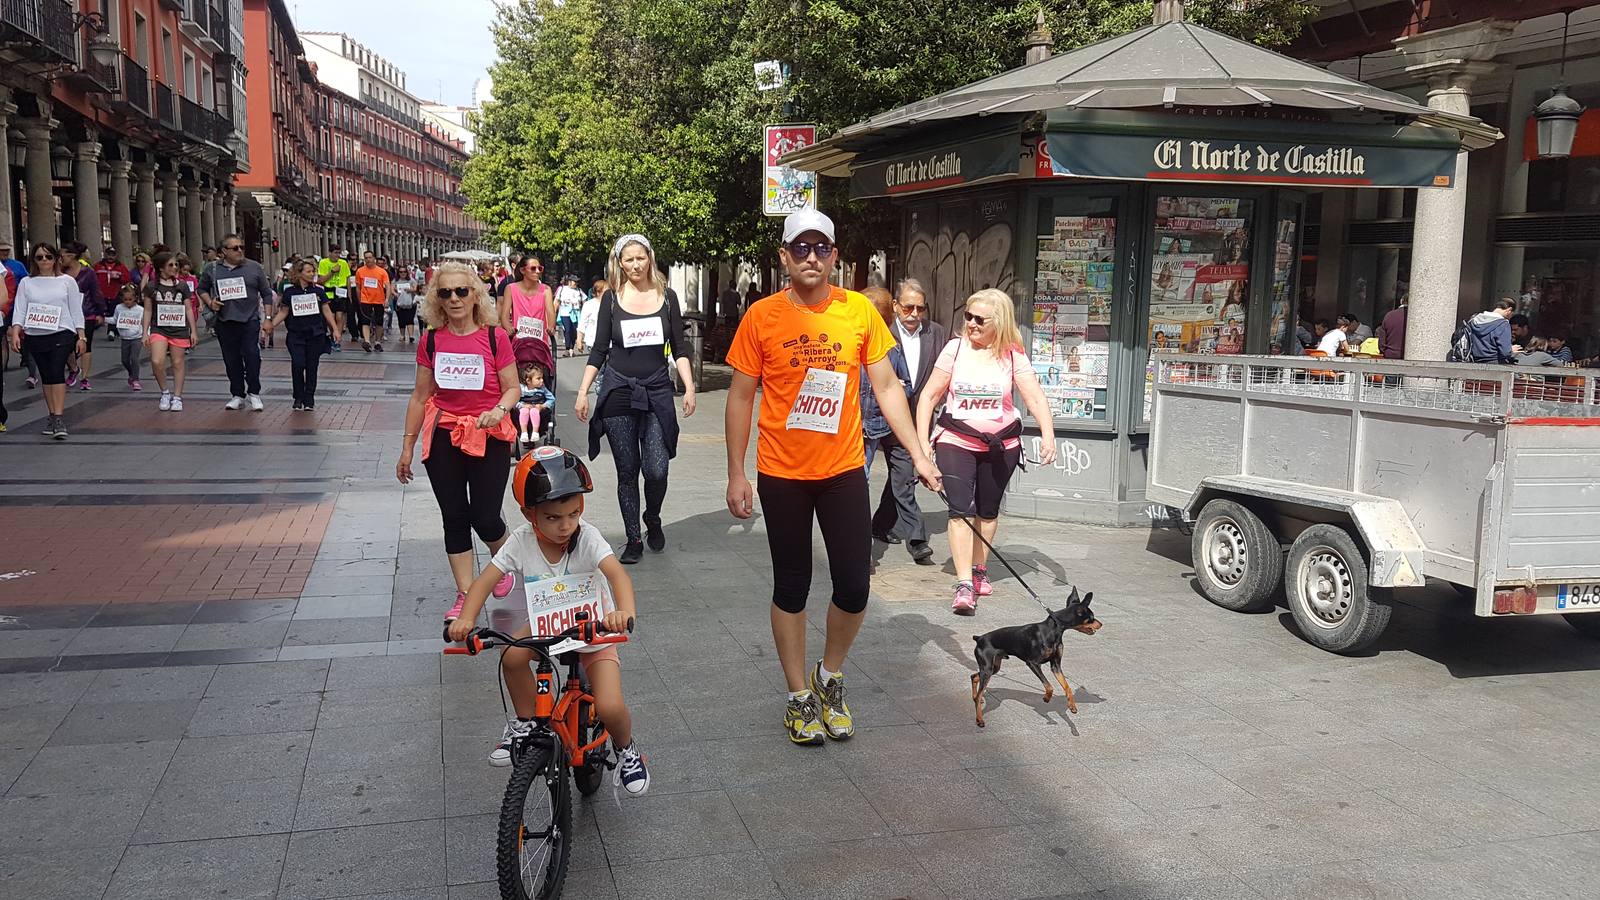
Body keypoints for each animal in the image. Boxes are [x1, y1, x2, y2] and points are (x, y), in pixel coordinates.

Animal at [966, 586, 1094, 723]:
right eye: (1092, 618)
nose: (1100, 624)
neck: (1054, 629)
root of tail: (979, 638)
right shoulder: (1033, 663)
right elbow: (1049, 687)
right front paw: (1046, 698)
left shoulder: (1055, 666)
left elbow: (1067, 687)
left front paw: (1072, 706)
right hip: (988, 669)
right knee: (979, 690)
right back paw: (979, 718)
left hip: (993, 667)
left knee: (974, 677)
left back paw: (976, 699)